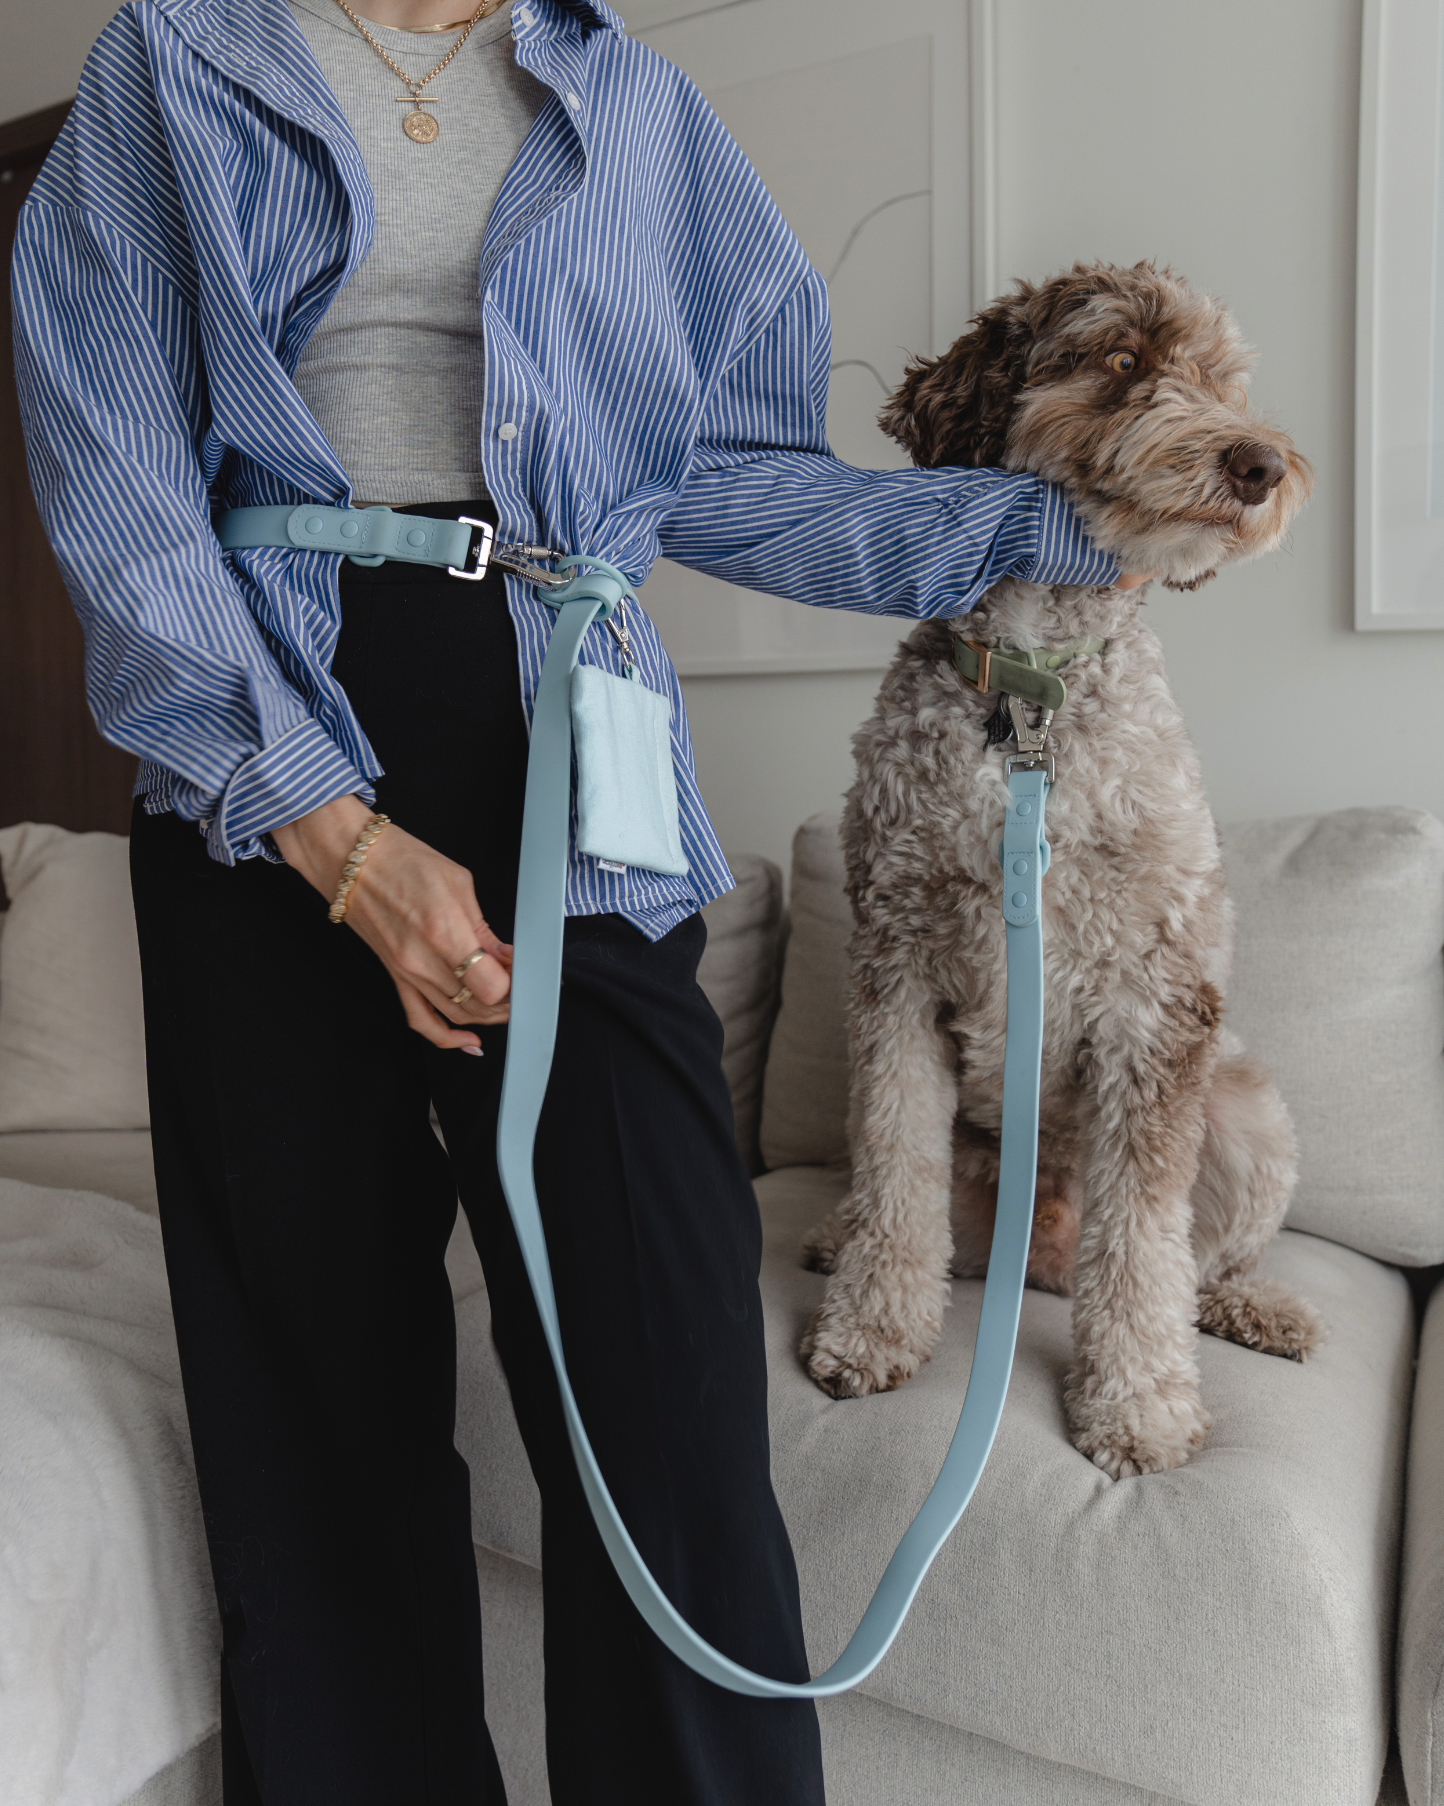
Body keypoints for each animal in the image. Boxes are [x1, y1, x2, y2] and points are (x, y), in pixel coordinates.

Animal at [801, 267, 1321, 1480]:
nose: (1260, 464)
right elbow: (893, 1167)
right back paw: (834, 1243)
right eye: (1123, 361)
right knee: (905, 1207)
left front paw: (1136, 1408)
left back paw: (1253, 1311)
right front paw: (870, 1335)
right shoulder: (895, 963)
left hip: (1243, 1106)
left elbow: (1143, 1243)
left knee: (1200, 1260)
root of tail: (1032, 1262)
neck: (1031, 692)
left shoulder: (1158, 998)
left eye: (1223, 381)